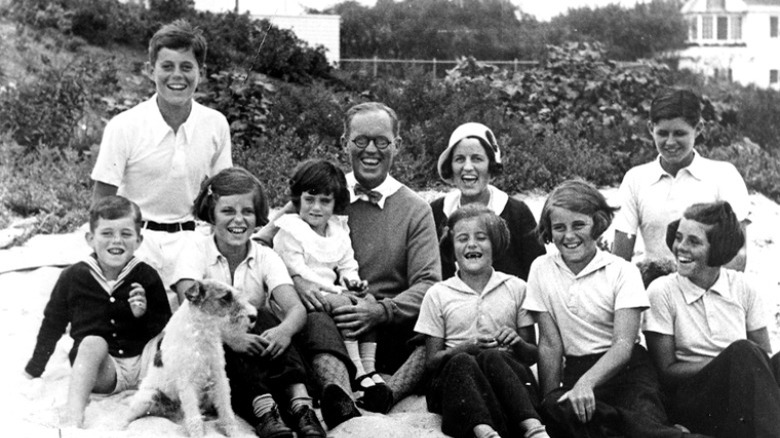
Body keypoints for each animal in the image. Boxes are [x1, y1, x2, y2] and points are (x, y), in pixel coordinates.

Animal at [122, 278, 256, 436]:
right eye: (225, 297)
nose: (254, 317)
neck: (202, 332)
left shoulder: (219, 378)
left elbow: (226, 409)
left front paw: (232, 432)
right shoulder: (187, 383)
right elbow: (194, 418)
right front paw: (198, 434)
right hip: (148, 397)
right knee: (129, 416)